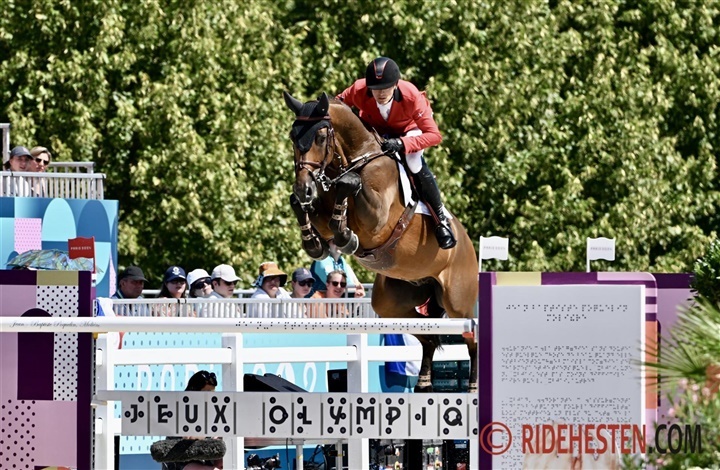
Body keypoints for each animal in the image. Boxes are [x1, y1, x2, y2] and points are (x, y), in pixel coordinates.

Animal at [283, 91, 479, 393]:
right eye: (294, 136)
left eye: (320, 137)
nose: (304, 187)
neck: (356, 159)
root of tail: (468, 245)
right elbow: (312, 214)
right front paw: (316, 240)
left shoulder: (376, 219)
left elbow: (349, 188)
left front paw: (346, 236)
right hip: (391, 304)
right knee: (428, 334)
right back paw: (423, 383)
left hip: (457, 301)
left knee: (471, 337)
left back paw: (472, 386)